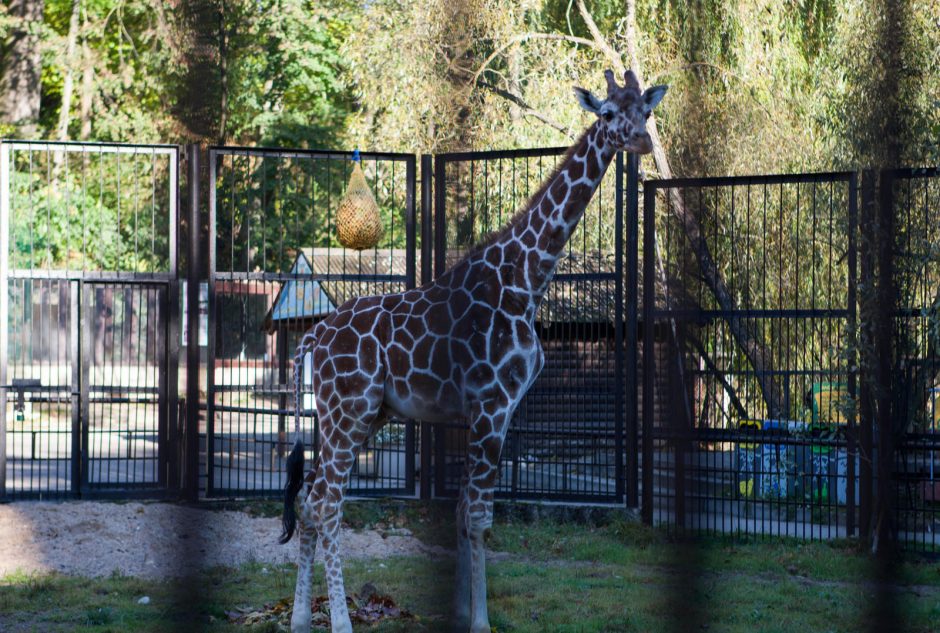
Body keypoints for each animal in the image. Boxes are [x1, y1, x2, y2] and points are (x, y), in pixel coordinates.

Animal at [280, 69, 668, 632]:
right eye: (608, 113)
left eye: (646, 110)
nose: (641, 141)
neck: (526, 281)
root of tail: (314, 335)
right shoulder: (492, 404)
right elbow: (481, 515)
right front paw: (481, 621)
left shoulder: (487, 411)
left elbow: (464, 511)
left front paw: (463, 609)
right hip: (347, 410)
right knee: (327, 504)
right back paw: (341, 622)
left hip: (361, 415)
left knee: (310, 500)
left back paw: (299, 621)